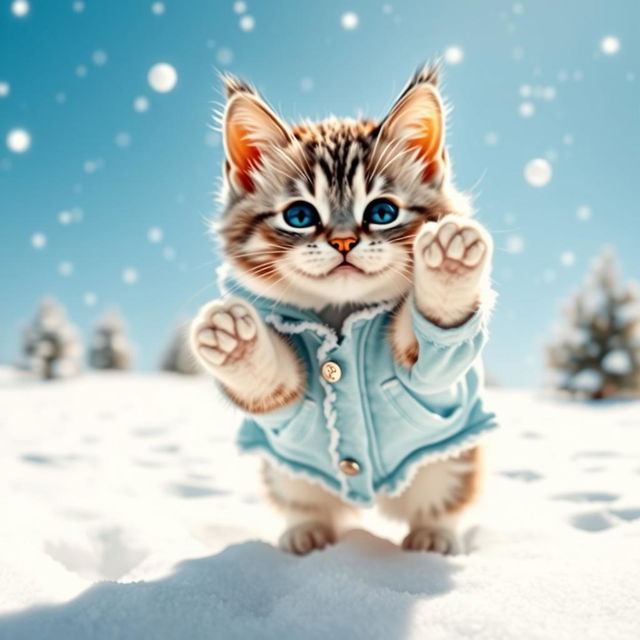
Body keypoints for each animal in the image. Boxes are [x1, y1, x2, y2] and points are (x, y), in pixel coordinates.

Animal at [189, 66, 496, 556]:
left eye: (383, 211)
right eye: (299, 216)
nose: (344, 241)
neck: (341, 314)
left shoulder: (431, 380)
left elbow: (432, 350)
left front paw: (449, 262)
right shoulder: (286, 411)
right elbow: (276, 386)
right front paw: (235, 342)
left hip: (451, 462)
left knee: (442, 499)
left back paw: (432, 536)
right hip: (287, 473)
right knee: (307, 503)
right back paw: (307, 532)